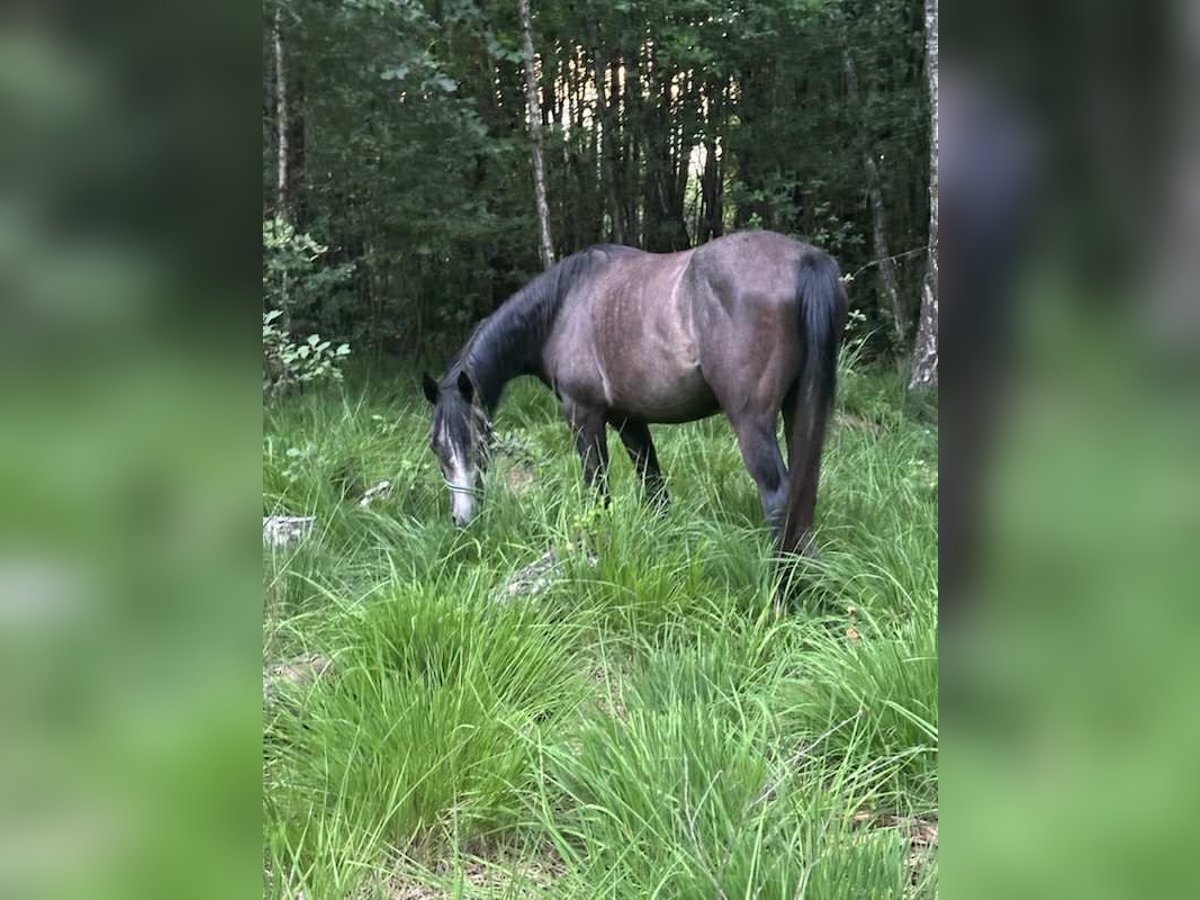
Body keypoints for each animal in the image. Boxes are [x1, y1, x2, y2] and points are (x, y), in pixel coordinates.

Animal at [421, 230, 847, 558]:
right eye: (436, 448)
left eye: (479, 442)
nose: (462, 520)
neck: (561, 306)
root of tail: (805, 260)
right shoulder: (629, 419)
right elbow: (654, 487)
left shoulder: (584, 415)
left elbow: (598, 490)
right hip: (798, 408)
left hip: (751, 422)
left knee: (779, 498)